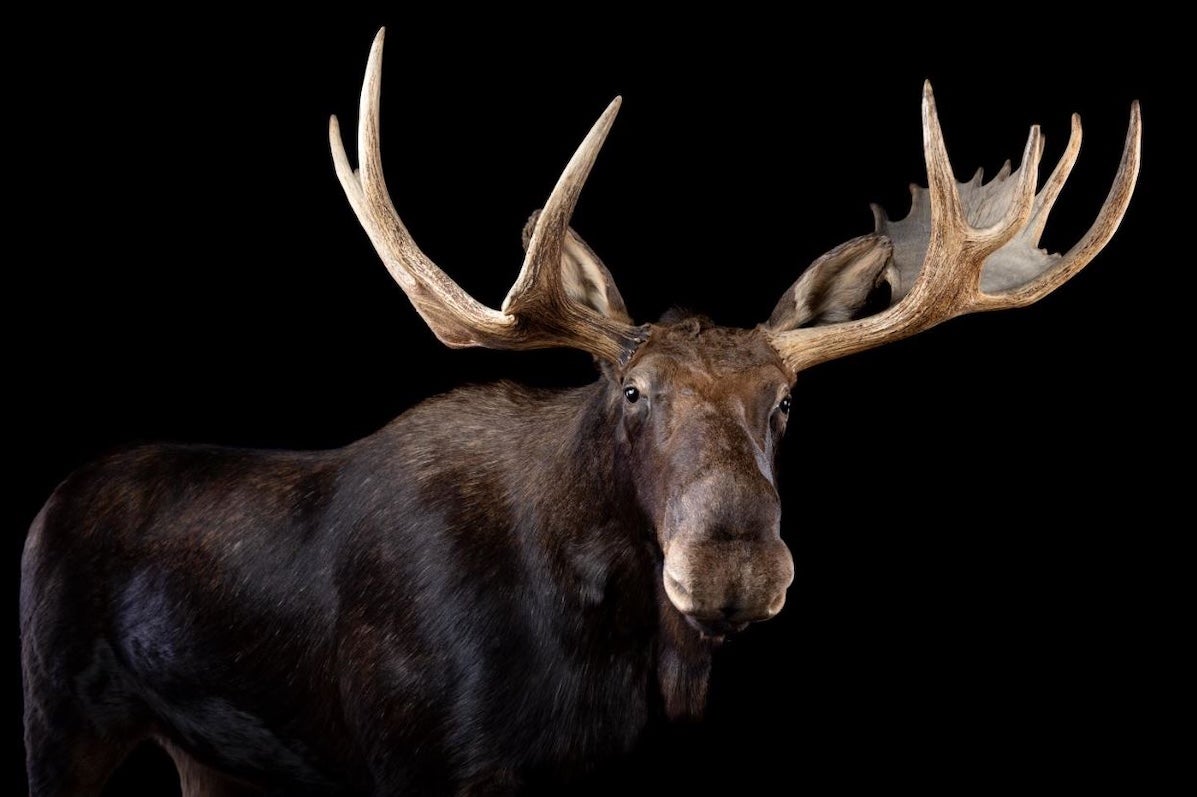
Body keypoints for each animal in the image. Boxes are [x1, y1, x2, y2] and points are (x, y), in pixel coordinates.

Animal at [19, 28, 1140, 797]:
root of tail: (50, 504)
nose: (732, 567)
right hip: (59, 718)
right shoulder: (411, 762)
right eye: (632, 392)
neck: (595, 646)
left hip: (213, 756)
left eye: (785, 402)